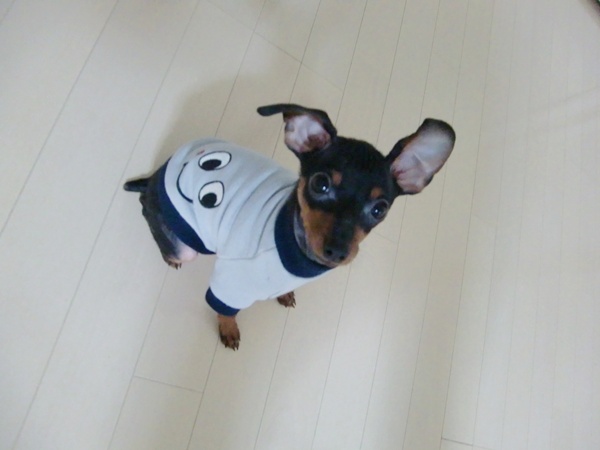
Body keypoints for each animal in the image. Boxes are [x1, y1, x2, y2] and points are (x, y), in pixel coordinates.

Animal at [124, 104, 455, 350]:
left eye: (379, 209)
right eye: (320, 184)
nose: (338, 251)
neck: (298, 252)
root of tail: (160, 173)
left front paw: (283, 295)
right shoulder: (229, 284)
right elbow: (224, 310)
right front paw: (228, 329)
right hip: (184, 242)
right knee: (146, 208)